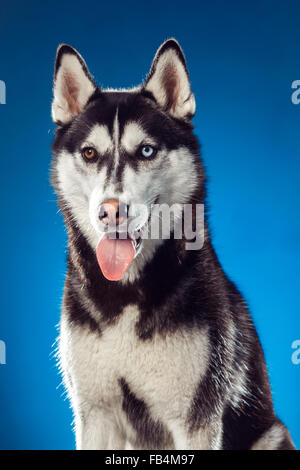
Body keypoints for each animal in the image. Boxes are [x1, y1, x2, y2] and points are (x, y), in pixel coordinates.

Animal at [50, 38, 294, 450]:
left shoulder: (196, 420)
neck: (127, 295)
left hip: (272, 434)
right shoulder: (94, 416)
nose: (110, 211)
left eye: (146, 151)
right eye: (89, 153)